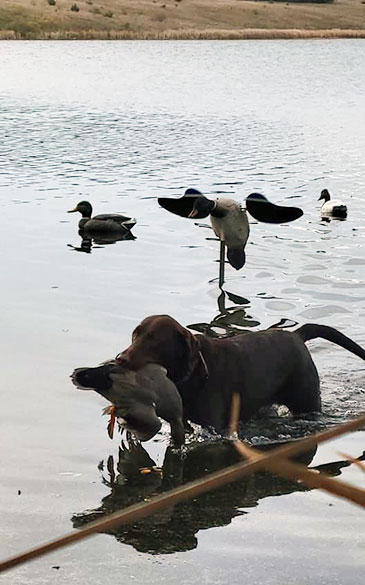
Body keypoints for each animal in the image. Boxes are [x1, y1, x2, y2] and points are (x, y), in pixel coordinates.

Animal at [117, 314, 364, 434]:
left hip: (306, 400)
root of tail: (297, 334)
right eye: (135, 334)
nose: (120, 358)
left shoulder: (213, 425)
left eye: (154, 339)